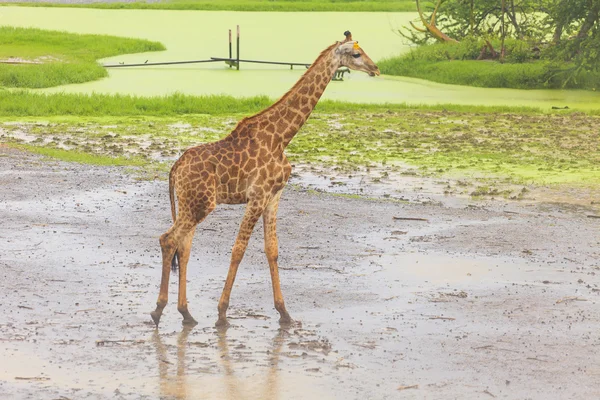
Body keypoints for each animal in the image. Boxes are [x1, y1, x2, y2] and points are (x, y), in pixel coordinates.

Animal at [151, 31, 380, 328]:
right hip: (200, 204)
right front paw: (222, 313)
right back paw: (158, 310)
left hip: (190, 203)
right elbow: (238, 249)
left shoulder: (274, 195)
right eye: (356, 54)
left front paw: (285, 313)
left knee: (184, 247)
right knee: (168, 240)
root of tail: (175, 168)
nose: (375, 68)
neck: (282, 137)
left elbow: (272, 249)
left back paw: (186, 313)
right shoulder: (257, 195)